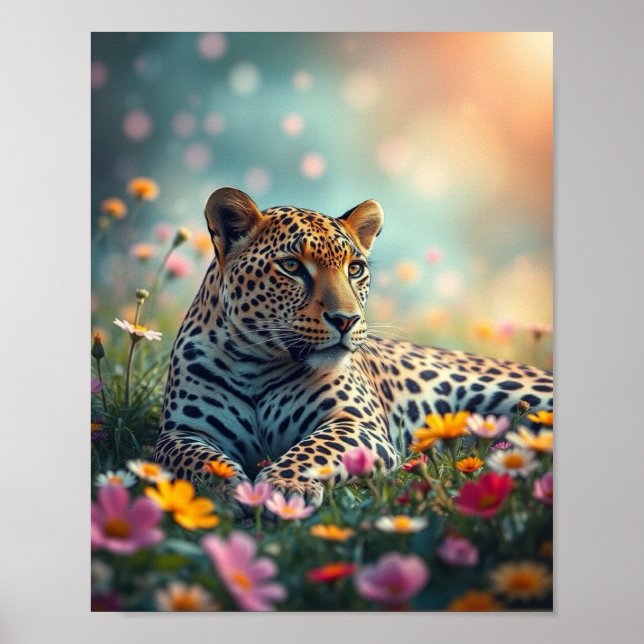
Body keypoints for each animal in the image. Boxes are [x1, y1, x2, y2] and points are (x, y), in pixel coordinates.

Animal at [154, 187, 553, 505]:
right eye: (291, 266)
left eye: (355, 269)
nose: (346, 320)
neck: (256, 363)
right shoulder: (183, 432)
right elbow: (192, 457)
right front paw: (225, 485)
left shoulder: (355, 422)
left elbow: (313, 449)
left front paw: (285, 485)